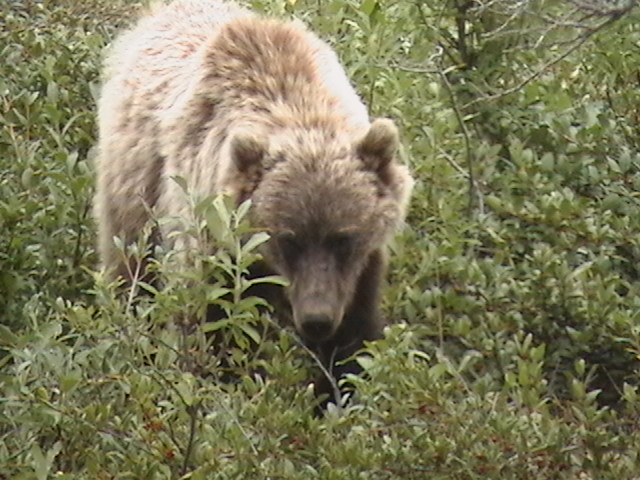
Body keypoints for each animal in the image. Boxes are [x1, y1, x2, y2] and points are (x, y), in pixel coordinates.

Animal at [93, 0, 414, 410]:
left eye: (344, 238)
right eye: (288, 239)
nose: (317, 320)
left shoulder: (360, 269)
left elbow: (356, 337)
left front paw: (338, 393)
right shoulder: (206, 232)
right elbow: (207, 326)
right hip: (133, 184)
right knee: (131, 267)